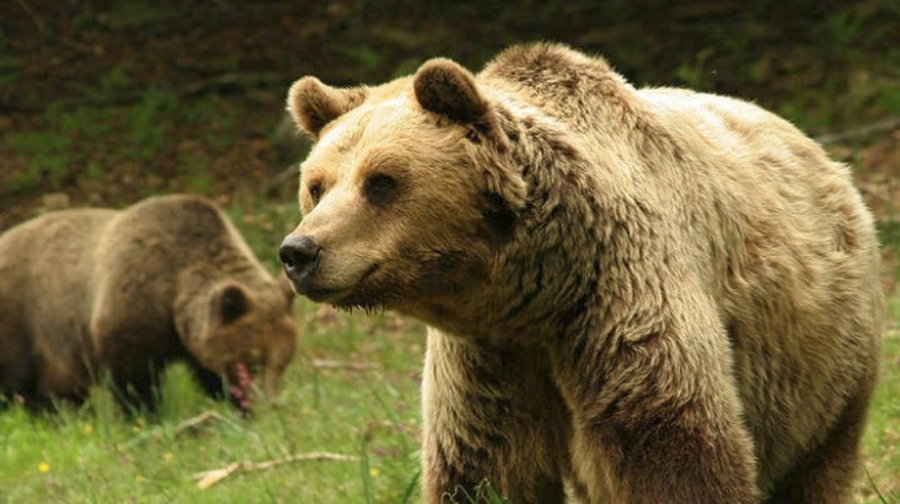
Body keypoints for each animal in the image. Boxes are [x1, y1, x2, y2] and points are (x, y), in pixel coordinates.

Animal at [0, 195, 298, 412]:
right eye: (253, 361)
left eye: (283, 363)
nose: (268, 405)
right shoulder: (130, 308)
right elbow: (134, 379)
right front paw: (145, 413)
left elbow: (210, 372)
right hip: (23, 319)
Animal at [278, 44, 884, 504]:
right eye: (317, 185)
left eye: (382, 181)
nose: (299, 250)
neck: (534, 293)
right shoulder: (488, 364)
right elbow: (488, 470)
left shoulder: (619, 302)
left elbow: (671, 449)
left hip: (825, 365)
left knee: (817, 466)